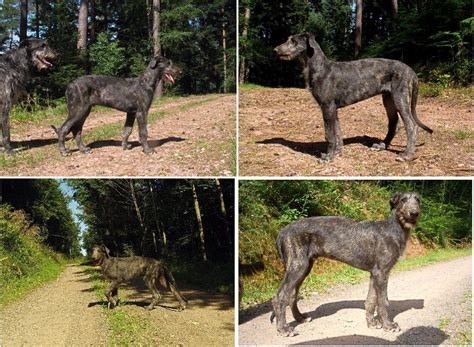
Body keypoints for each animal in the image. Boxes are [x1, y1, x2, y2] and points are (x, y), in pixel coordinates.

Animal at [270, 193, 422, 338]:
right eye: (403, 200)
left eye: (418, 200)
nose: (414, 213)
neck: (394, 228)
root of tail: (282, 232)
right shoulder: (382, 272)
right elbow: (383, 301)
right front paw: (388, 325)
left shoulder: (375, 273)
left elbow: (371, 300)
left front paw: (371, 323)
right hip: (298, 266)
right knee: (280, 296)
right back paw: (283, 329)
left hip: (304, 267)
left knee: (292, 295)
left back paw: (300, 318)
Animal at [274, 33, 434, 162]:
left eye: (293, 41)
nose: (275, 50)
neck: (320, 68)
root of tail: (411, 71)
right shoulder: (333, 109)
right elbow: (337, 133)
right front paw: (337, 152)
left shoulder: (327, 107)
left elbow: (329, 135)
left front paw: (328, 157)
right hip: (388, 99)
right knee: (395, 124)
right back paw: (382, 145)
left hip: (400, 97)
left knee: (411, 126)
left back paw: (407, 154)